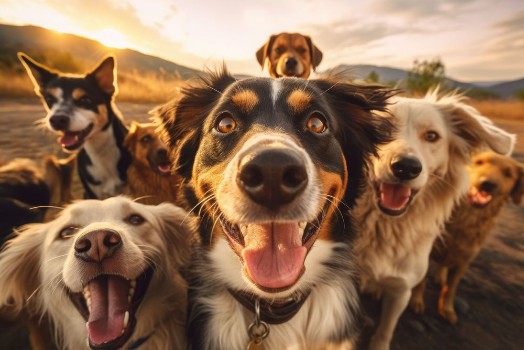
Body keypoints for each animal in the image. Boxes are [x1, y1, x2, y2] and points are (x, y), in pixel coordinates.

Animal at [412, 152, 524, 324]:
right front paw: (416, 301)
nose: (487, 184)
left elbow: (451, 288)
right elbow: (422, 280)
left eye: (508, 173)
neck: (466, 218)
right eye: (479, 162)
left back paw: (441, 276)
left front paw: (447, 309)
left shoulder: (464, 261)